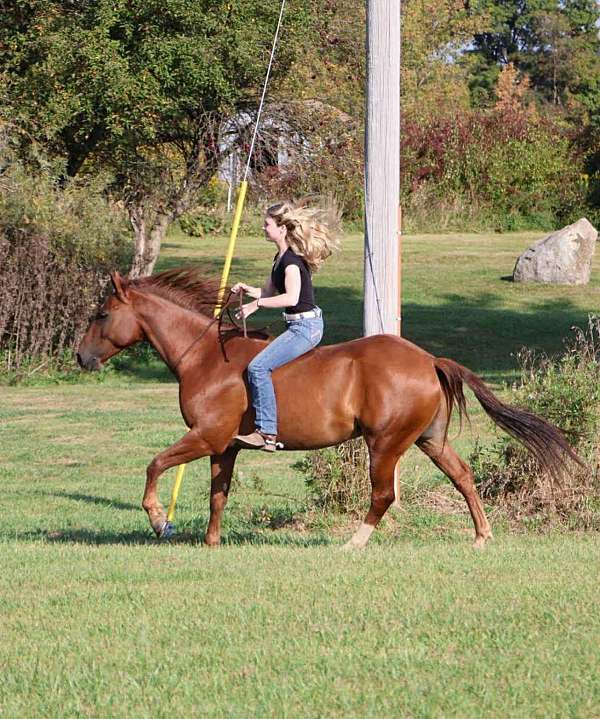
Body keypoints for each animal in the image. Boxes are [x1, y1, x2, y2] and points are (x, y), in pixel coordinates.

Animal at [77, 267, 580, 549]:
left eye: (101, 314)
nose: (81, 358)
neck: (203, 356)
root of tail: (428, 359)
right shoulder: (225, 447)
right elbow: (219, 495)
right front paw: (211, 544)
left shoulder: (206, 436)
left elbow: (155, 464)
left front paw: (160, 521)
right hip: (429, 439)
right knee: (463, 477)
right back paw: (480, 537)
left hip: (385, 443)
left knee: (383, 495)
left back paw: (353, 543)